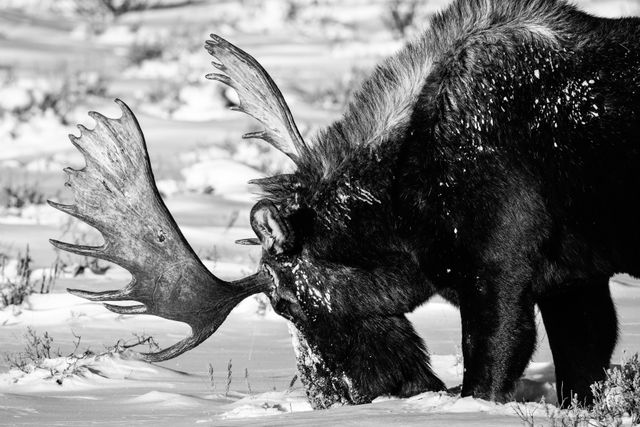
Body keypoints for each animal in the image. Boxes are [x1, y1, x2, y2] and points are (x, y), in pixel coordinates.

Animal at [50, 0, 640, 410]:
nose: (331, 397)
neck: (403, 211)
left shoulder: (500, 269)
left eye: (285, 303)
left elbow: (491, 370)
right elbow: (584, 366)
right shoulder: (572, 278)